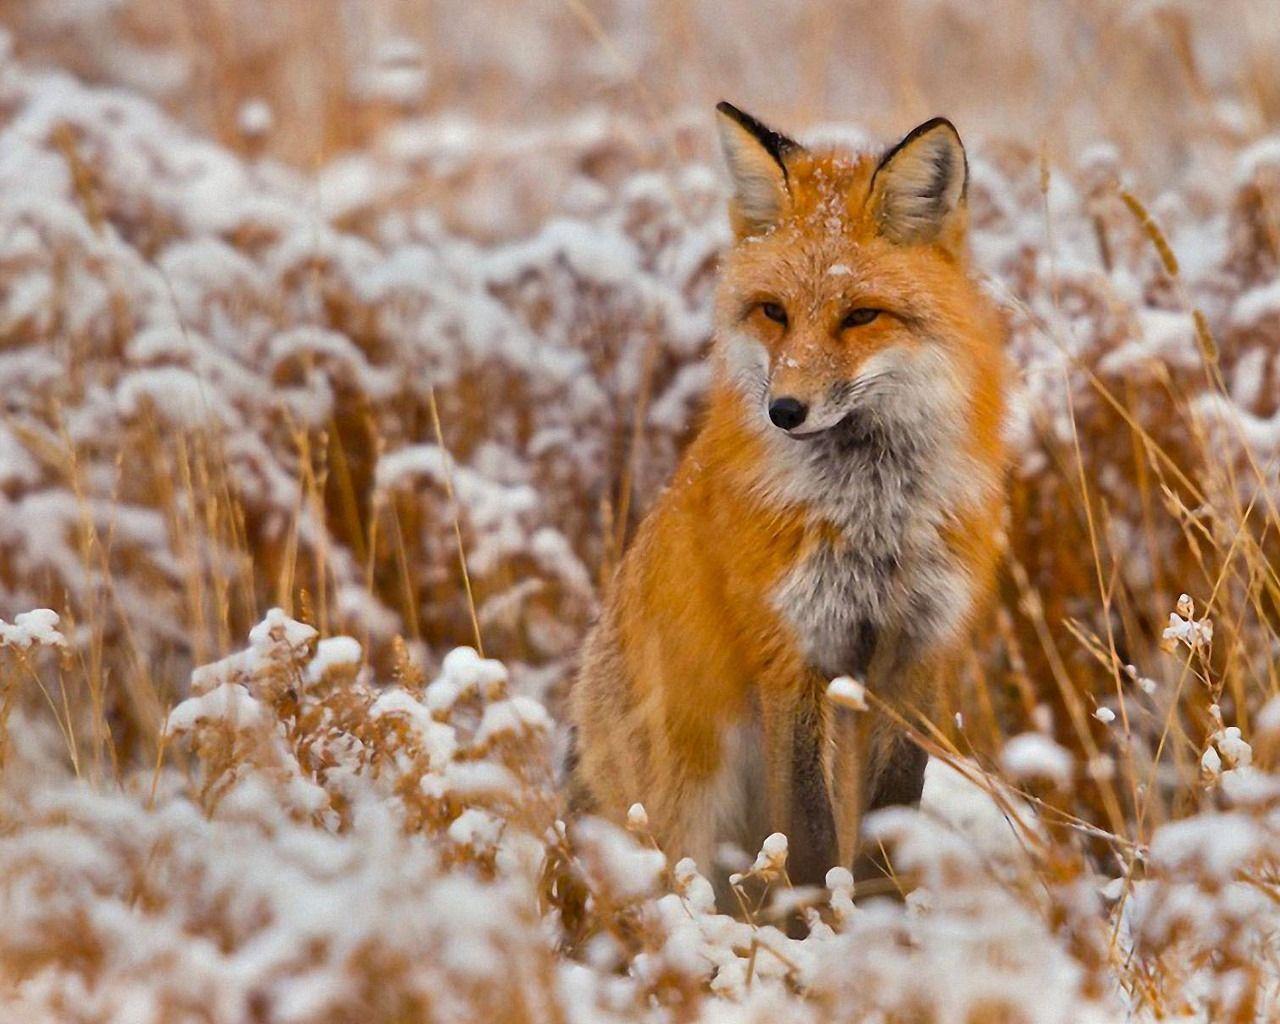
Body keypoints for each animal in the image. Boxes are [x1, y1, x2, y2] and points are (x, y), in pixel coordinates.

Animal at [565, 99, 1003, 890]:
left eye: (860, 315)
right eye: (774, 312)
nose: (785, 411)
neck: (872, 515)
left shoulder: (920, 651)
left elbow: (892, 816)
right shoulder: (791, 651)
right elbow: (806, 834)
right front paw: (816, 916)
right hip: (684, 806)